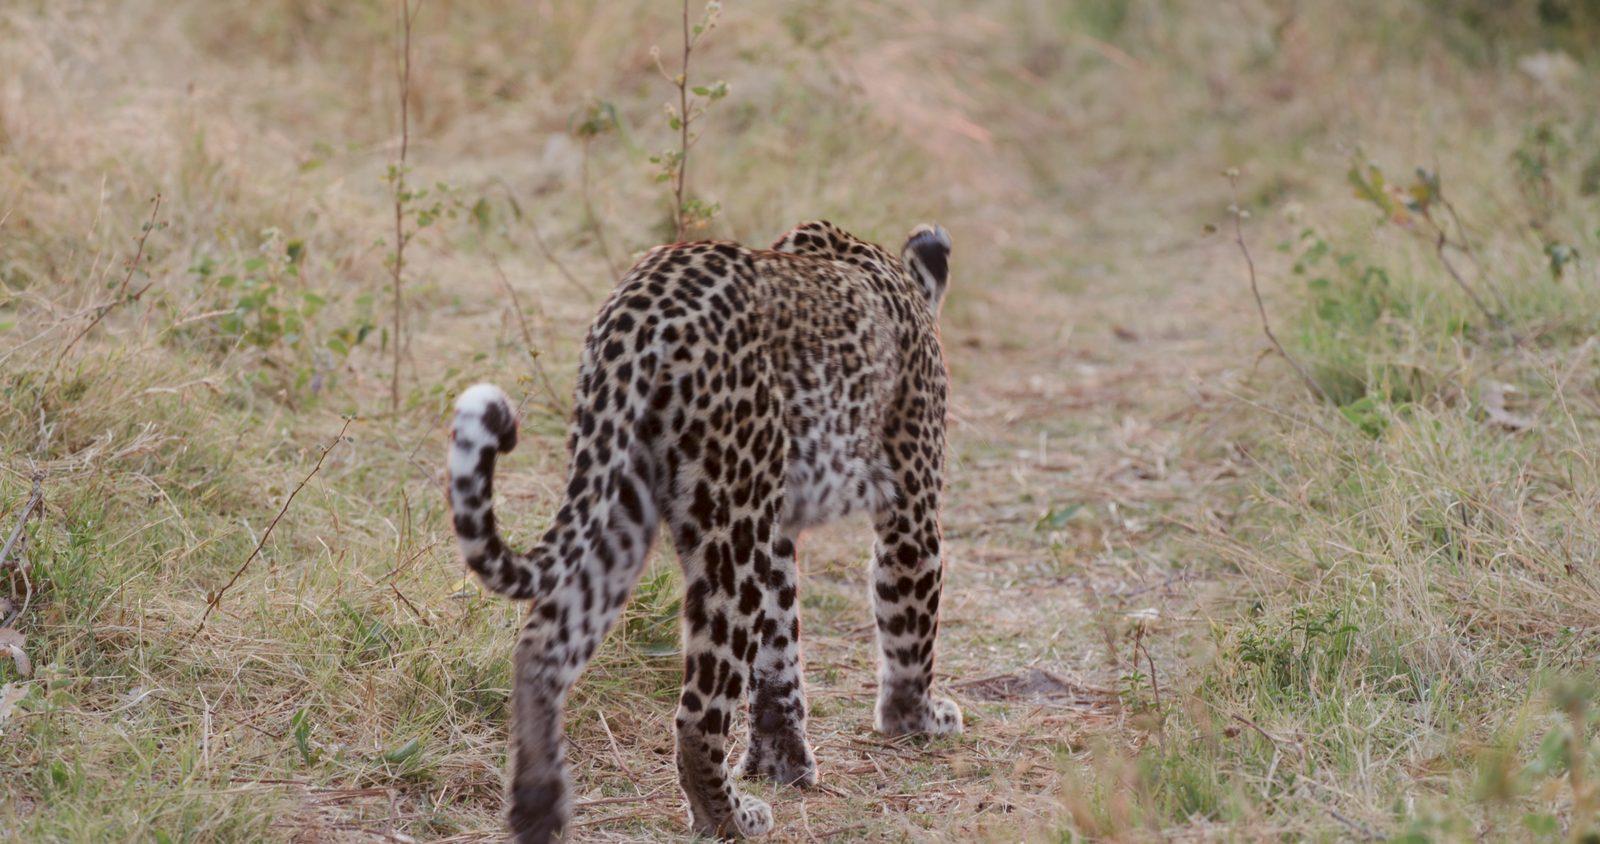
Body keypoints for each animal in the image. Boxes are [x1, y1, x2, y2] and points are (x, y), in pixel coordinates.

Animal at [447, 219, 960, 841]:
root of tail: (639, 309)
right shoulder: (910, 504)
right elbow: (910, 620)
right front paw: (917, 720)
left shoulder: (776, 529)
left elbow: (778, 654)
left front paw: (781, 762)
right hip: (727, 531)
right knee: (697, 713)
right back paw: (729, 818)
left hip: (621, 505)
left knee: (541, 653)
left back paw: (538, 809)